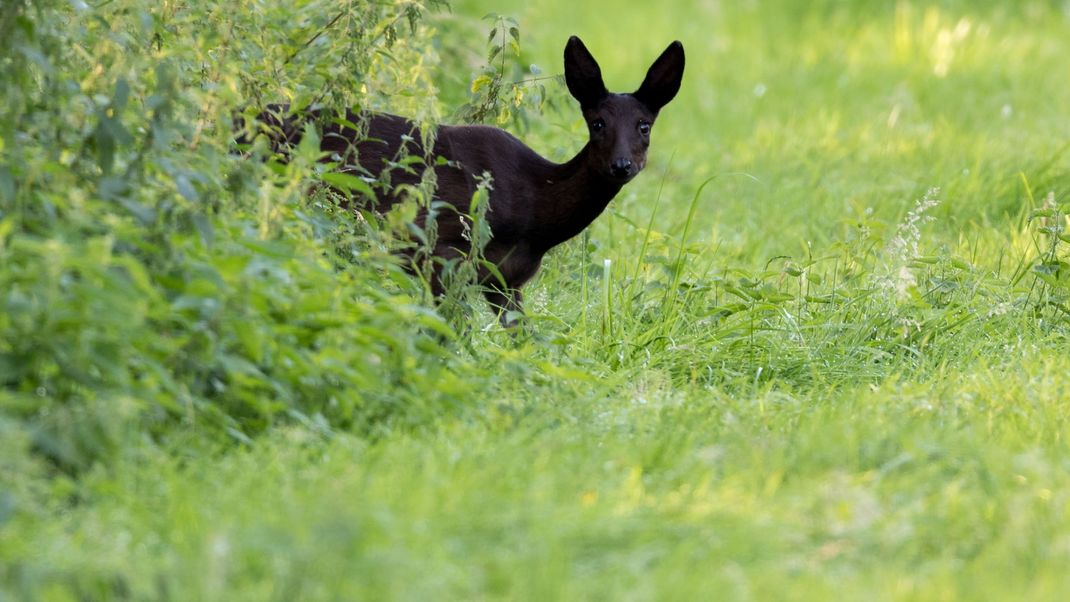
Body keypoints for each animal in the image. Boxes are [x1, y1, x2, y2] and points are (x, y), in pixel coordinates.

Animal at [247, 35, 684, 327]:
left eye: (644, 125)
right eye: (597, 123)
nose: (622, 165)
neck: (535, 211)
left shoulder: (506, 282)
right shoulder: (441, 251)